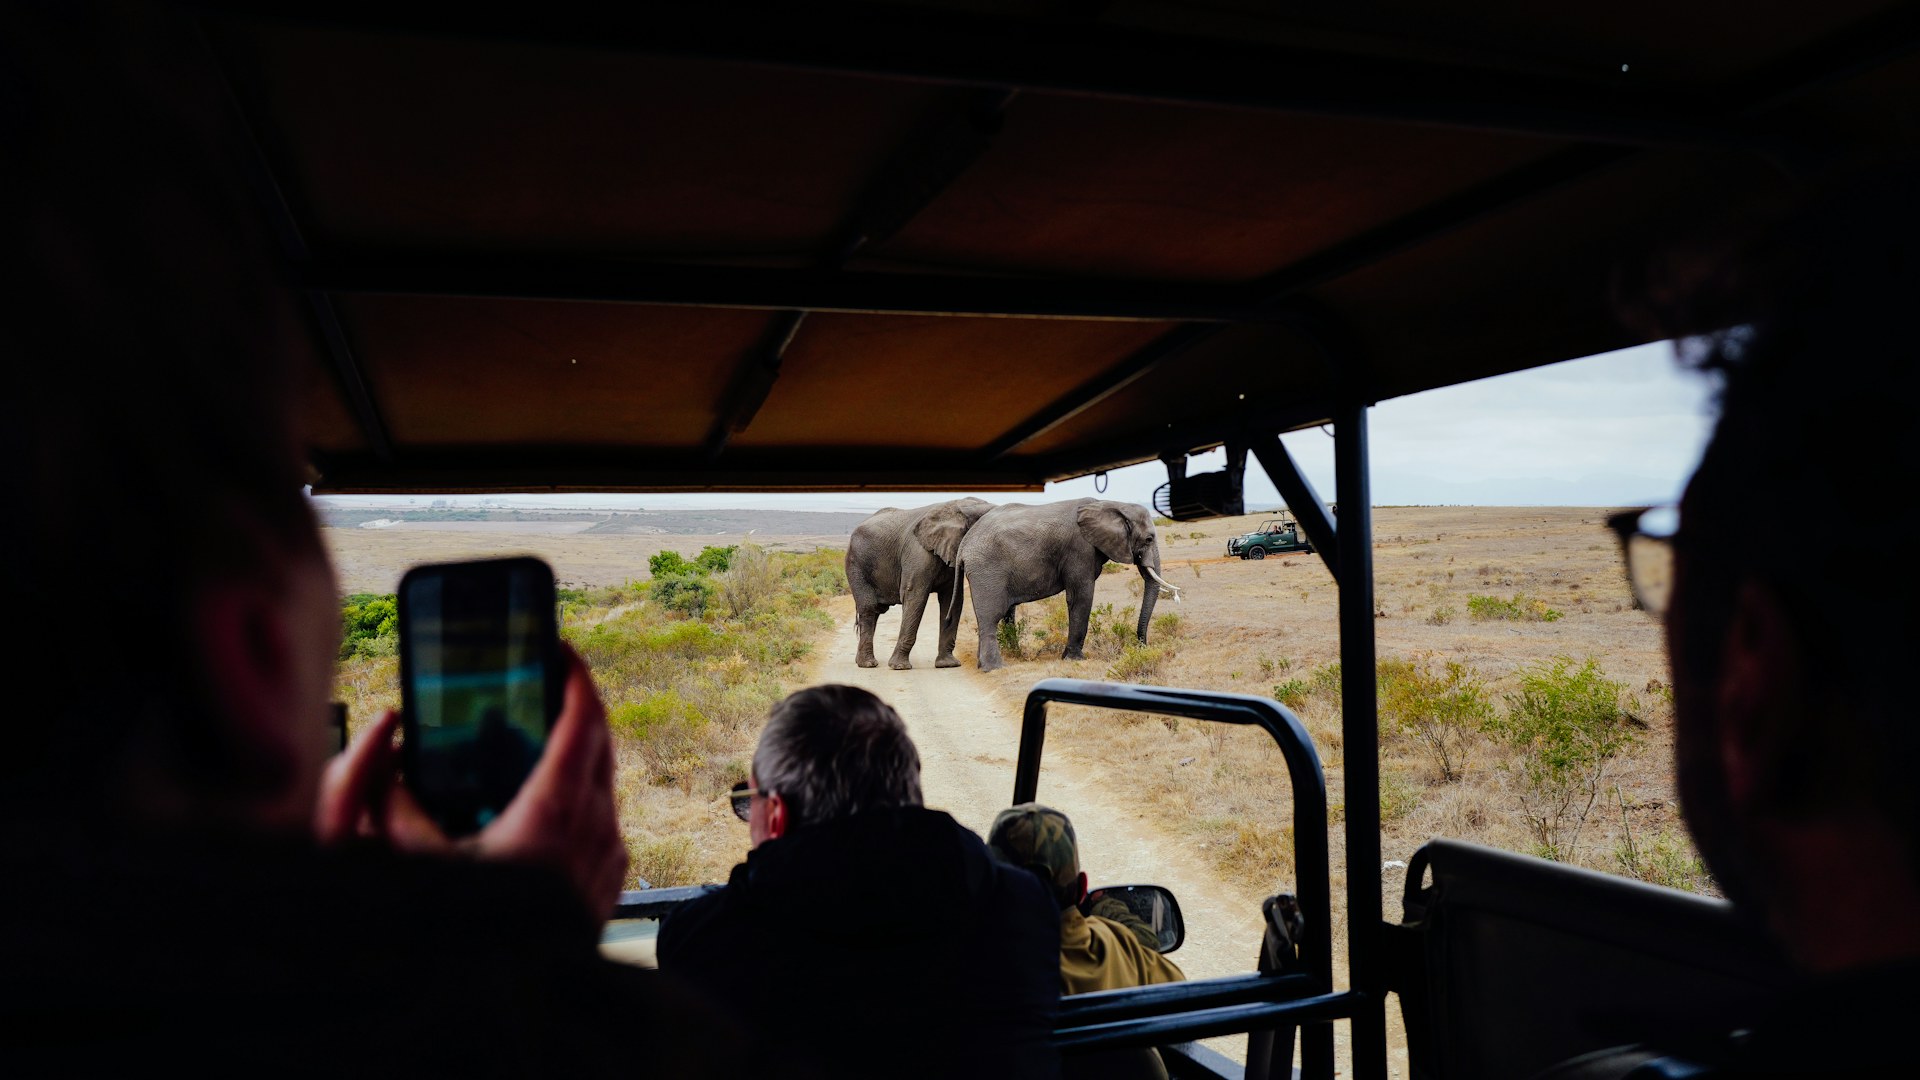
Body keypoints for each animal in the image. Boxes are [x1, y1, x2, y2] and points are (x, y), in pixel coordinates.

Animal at [846, 497, 996, 670]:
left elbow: (952, 599)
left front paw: (947, 665)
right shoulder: (918, 553)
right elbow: (915, 596)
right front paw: (900, 667)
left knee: (875, 611)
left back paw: (861, 661)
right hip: (856, 565)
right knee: (869, 609)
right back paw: (868, 664)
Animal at [956, 498, 1182, 673]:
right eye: (1149, 539)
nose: (1142, 646)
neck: (1112, 504)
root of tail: (964, 545)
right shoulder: (1079, 550)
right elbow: (1081, 596)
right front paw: (1075, 659)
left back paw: (981, 665)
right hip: (987, 570)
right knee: (991, 616)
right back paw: (993, 668)